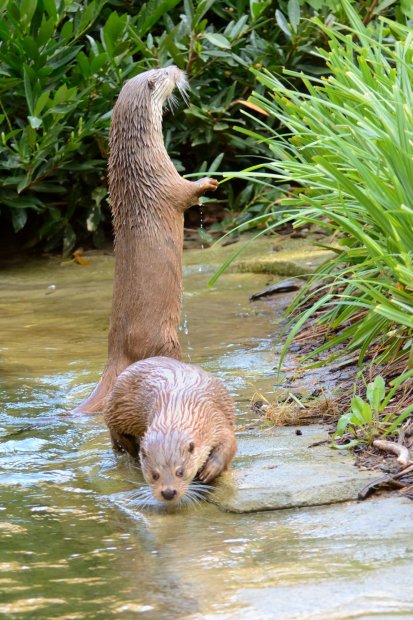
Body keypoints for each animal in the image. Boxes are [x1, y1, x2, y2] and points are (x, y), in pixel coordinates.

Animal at [75, 65, 220, 414]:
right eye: (164, 72)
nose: (178, 68)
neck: (141, 160)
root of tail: (116, 348)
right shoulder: (167, 177)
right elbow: (186, 193)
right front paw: (208, 182)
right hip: (165, 339)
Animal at [103, 356, 237, 506]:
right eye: (154, 475)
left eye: (180, 472)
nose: (168, 492)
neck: (179, 407)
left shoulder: (215, 419)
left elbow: (229, 442)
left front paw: (210, 470)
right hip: (116, 411)